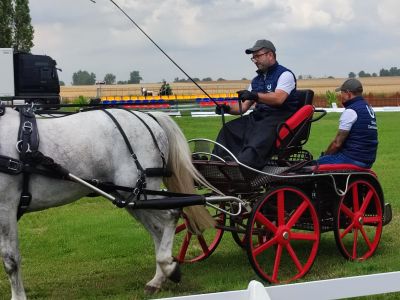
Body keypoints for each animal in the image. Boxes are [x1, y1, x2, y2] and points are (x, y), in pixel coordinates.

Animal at [0, 108, 216, 300]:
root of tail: (147, 116)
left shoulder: (6, 207)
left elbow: (10, 259)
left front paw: (18, 297)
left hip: (139, 192)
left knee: (172, 213)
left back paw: (169, 268)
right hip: (131, 197)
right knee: (158, 230)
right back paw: (158, 278)